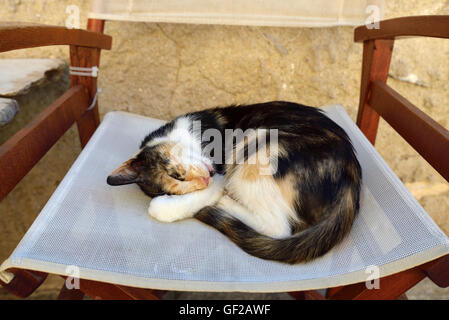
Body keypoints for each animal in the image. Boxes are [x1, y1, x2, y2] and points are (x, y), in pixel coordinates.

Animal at [107, 101, 362, 264]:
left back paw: (224, 203)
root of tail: (352, 176)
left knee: (278, 227)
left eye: (177, 174)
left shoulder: (220, 173)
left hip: (260, 145)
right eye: (179, 187)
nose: (205, 178)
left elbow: (162, 208)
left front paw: (165, 207)